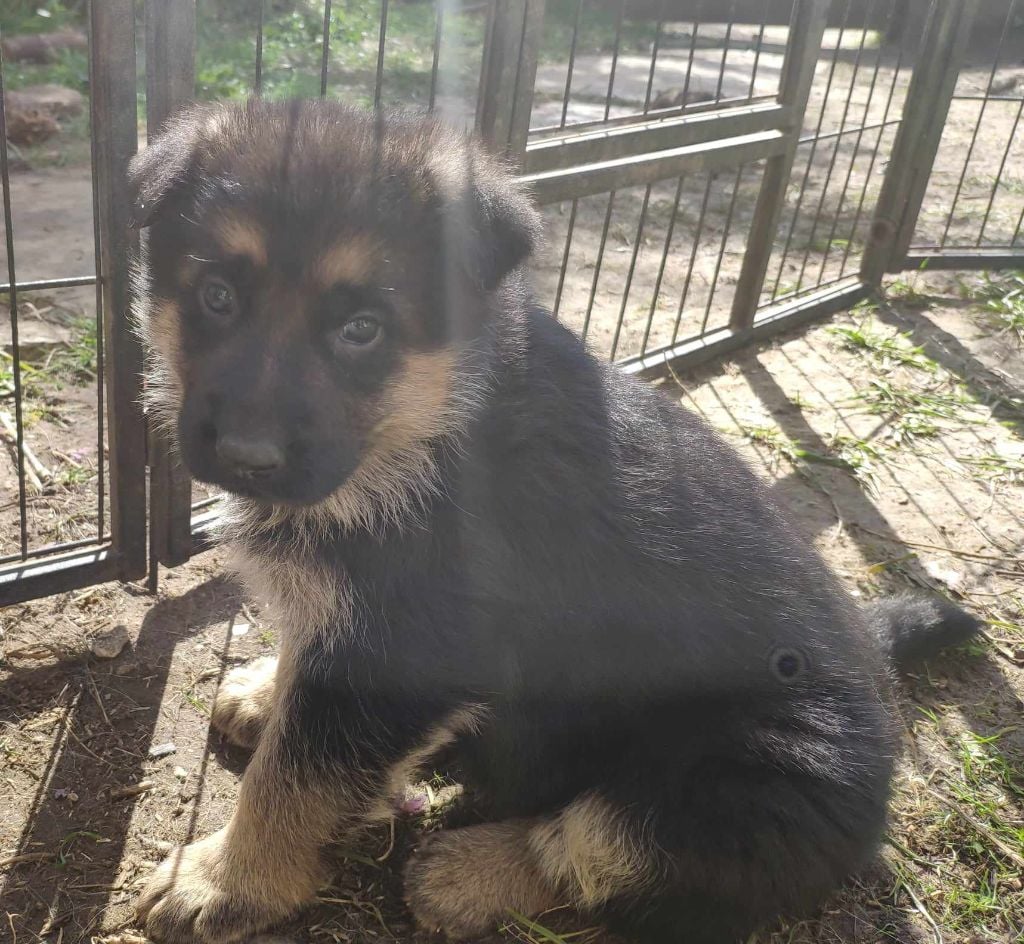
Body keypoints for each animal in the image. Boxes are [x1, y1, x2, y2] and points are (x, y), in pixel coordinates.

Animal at [132, 99, 978, 937]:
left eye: (361, 329)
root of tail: (878, 673)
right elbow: (305, 691)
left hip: (766, 770)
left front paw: (222, 882)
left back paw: (468, 874)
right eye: (216, 296)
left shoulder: (405, 650)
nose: (244, 455)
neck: (430, 424)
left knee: (603, 841)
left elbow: (293, 780)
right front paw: (269, 691)